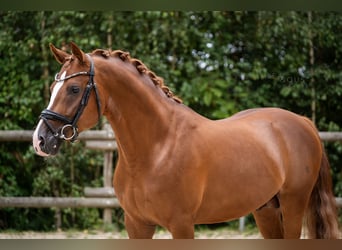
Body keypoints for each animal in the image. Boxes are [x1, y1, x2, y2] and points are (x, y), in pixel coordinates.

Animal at [32, 42, 340, 238]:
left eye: (73, 88)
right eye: (54, 86)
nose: (40, 140)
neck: (157, 148)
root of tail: (303, 122)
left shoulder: (181, 225)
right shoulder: (137, 225)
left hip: (293, 205)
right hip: (266, 210)